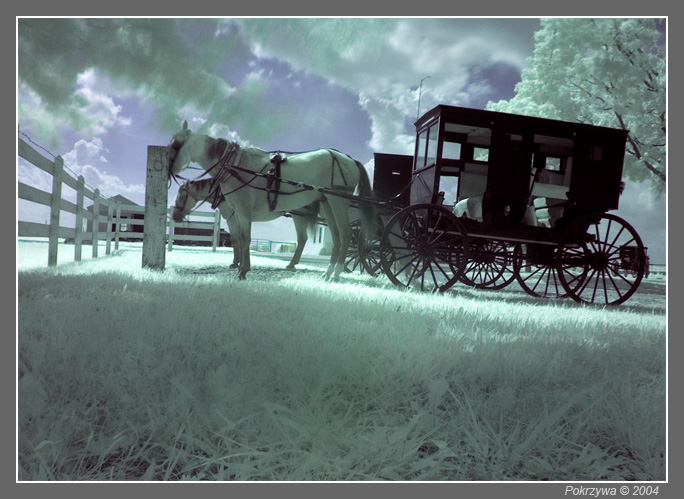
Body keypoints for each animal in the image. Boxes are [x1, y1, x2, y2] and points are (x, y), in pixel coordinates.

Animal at [174, 179, 318, 274]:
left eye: (181, 196)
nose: (176, 216)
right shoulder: (239, 217)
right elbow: (240, 238)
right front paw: (239, 263)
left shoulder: (233, 216)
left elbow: (236, 238)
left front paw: (235, 263)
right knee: (303, 238)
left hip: (298, 216)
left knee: (302, 238)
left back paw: (291, 264)